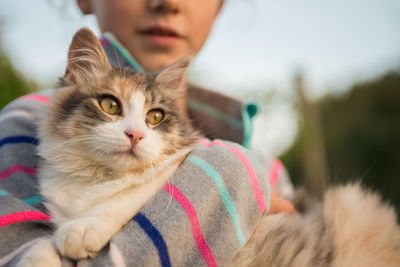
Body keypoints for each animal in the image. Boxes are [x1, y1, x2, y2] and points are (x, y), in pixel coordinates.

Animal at [18, 28, 199, 266]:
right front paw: (37, 258)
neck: (100, 175)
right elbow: (43, 243)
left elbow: (127, 195)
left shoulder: (167, 169)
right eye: (110, 105)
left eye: (155, 116)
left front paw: (81, 229)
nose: (136, 134)